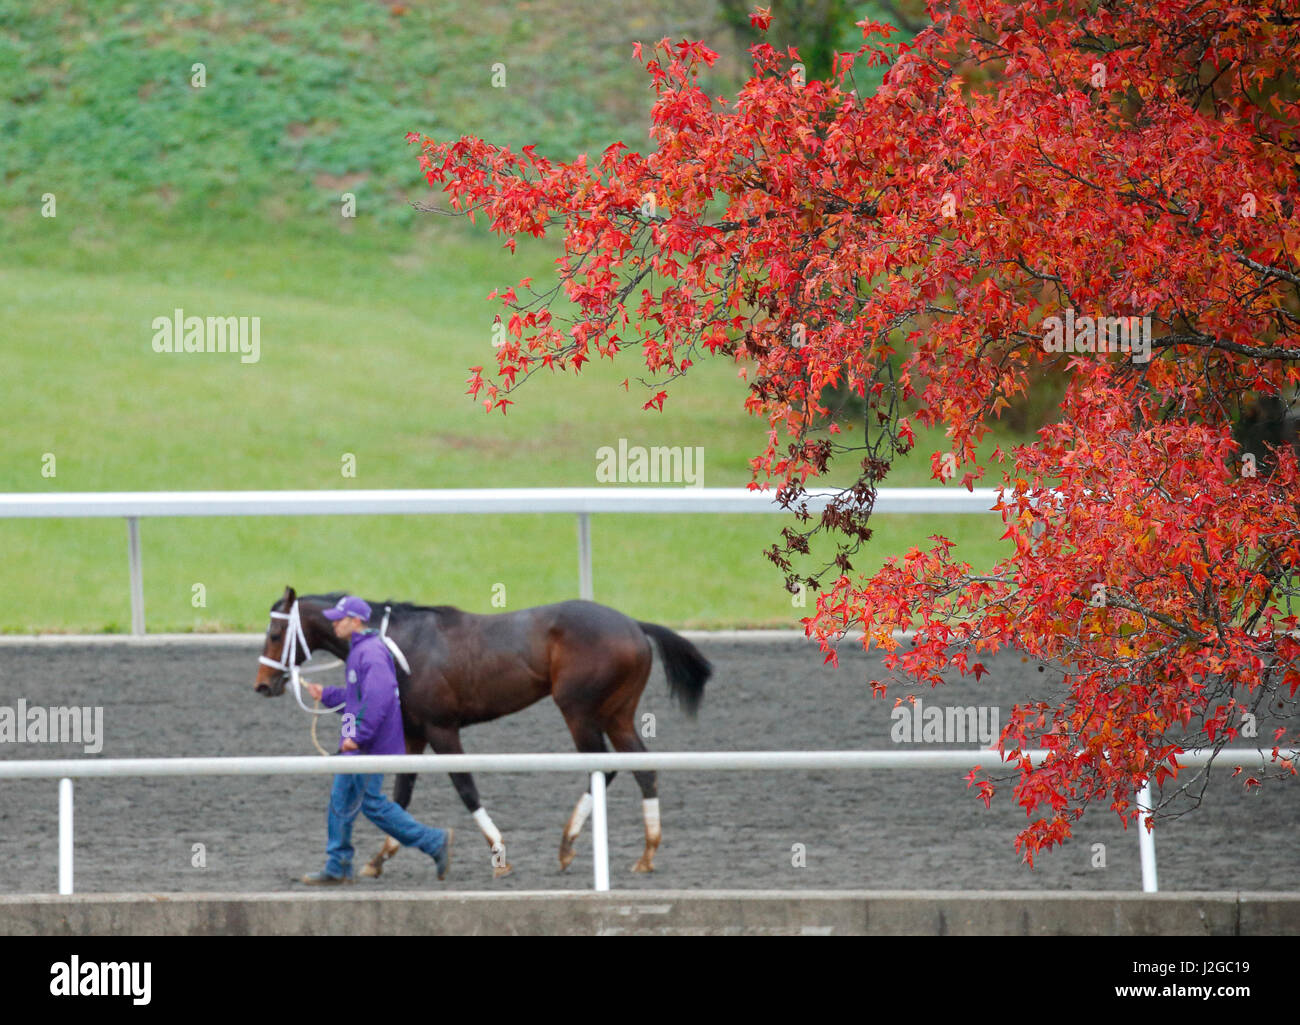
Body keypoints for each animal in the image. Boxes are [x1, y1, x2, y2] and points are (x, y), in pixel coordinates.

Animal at [253, 587, 712, 879]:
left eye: (275, 633)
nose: (262, 684)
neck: (396, 642)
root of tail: (633, 624)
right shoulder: (414, 732)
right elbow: (401, 793)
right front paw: (380, 857)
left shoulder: (442, 729)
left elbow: (465, 786)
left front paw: (498, 853)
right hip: (616, 713)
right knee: (642, 767)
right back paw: (647, 852)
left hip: (579, 710)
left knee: (605, 766)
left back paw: (567, 845)